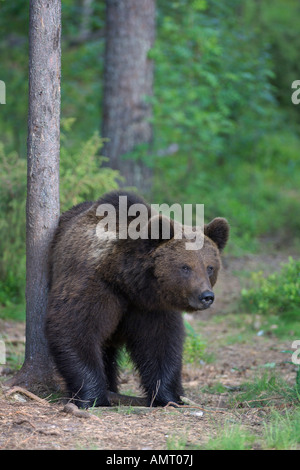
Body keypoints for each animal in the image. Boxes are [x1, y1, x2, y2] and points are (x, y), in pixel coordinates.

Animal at [44, 191, 229, 408]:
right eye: (185, 267)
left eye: (210, 267)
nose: (206, 296)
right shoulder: (94, 284)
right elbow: (73, 328)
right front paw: (94, 396)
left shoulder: (150, 307)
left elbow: (160, 343)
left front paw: (169, 397)